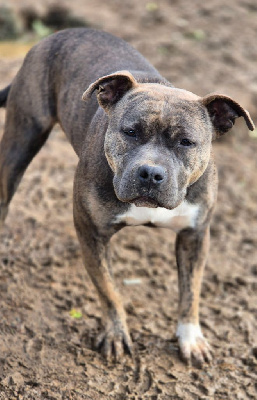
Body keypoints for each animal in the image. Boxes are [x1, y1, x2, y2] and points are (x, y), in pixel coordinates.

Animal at [0, 28, 253, 366]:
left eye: (186, 142)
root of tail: (59, 34)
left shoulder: (195, 235)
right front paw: (116, 333)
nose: (150, 173)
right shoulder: (92, 234)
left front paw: (190, 337)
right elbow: (108, 290)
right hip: (20, 142)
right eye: (130, 132)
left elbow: (191, 291)